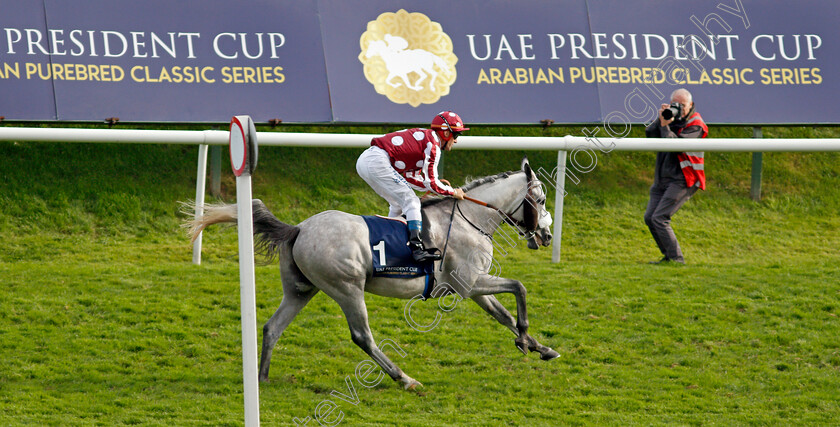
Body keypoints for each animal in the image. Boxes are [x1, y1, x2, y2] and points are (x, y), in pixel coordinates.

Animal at [187, 158, 560, 392]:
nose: (546, 235)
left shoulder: (472, 287)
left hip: (300, 290)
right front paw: (526, 338)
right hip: (347, 288)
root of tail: (298, 229)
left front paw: (537, 346)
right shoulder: (469, 283)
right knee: (362, 337)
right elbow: (520, 288)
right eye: (541, 199)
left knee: (272, 327)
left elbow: (504, 313)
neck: (471, 218)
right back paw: (405, 379)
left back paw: (262, 378)